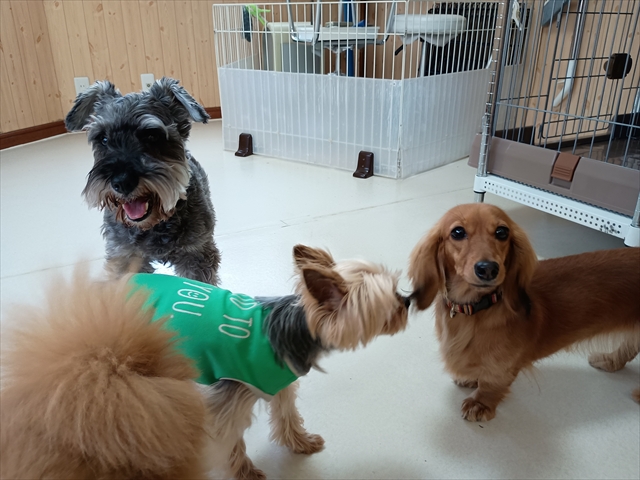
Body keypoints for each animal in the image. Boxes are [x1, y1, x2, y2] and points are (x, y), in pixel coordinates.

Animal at [0, 245, 409, 479]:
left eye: (397, 286)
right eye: (389, 300)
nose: (407, 300)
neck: (294, 327)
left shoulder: (278, 384)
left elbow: (287, 414)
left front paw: (301, 443)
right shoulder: (231, 400)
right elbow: (228, 440)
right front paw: (244, 472)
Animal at [65, 77, 221, 284]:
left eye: (152, 136)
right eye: (103, 139)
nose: (122, 182)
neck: (153, 224)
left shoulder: (196, 254)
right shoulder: (125, 257)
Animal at [408, 203, 640, 422]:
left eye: (502, 232)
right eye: (457, 232)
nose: (488, 269)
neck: (476, 310)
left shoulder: (504, 367)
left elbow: (492, 383)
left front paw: (480, 403)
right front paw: (471, 376)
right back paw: (610, 361)